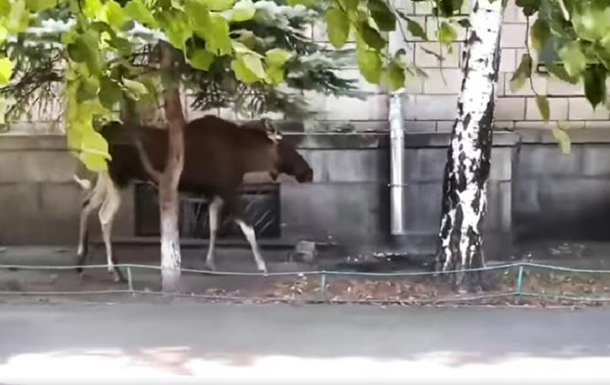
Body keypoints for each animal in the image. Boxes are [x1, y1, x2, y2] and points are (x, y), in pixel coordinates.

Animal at [75, 113, 314, 280]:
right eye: (288, 147)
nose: (308, 172)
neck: (246, 158)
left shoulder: (215, 193)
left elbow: (213, 227)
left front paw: (210, 264)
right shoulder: (227, 189)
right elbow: (248, 226)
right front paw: (262, 266)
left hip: (105, 178)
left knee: (86, 204)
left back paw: (80, 262)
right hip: (119, 180)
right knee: (104, 215)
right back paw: (114, 271)